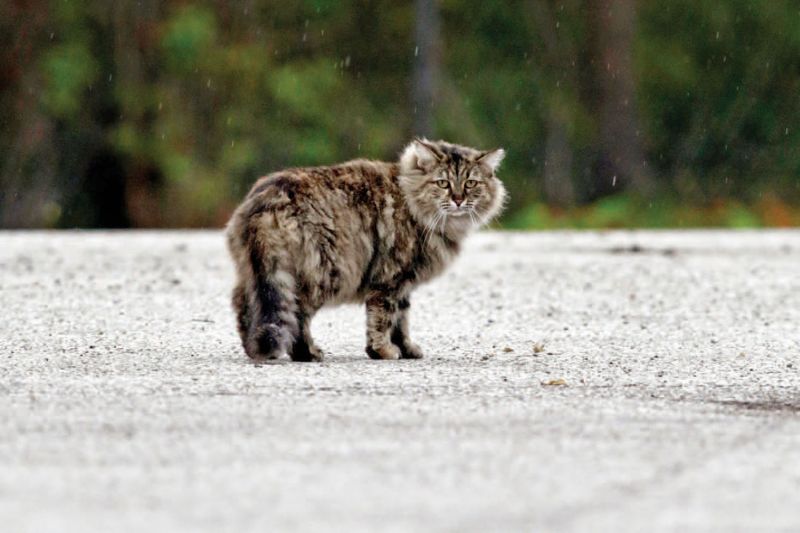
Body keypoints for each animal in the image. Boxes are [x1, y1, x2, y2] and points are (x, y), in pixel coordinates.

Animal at [225, 138, 506, 362]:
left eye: (470, 184)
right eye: (443, 183)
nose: (458, 199)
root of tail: (267, 199)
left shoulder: (404, 283)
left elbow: (401, 321)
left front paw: (406, 349)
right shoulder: (390, 279)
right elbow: (384, 319)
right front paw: (383, 351)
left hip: (256, 272)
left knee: (244, 308)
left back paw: (254, 350)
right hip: (324, 273)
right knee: (298, 315)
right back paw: (307, 353)